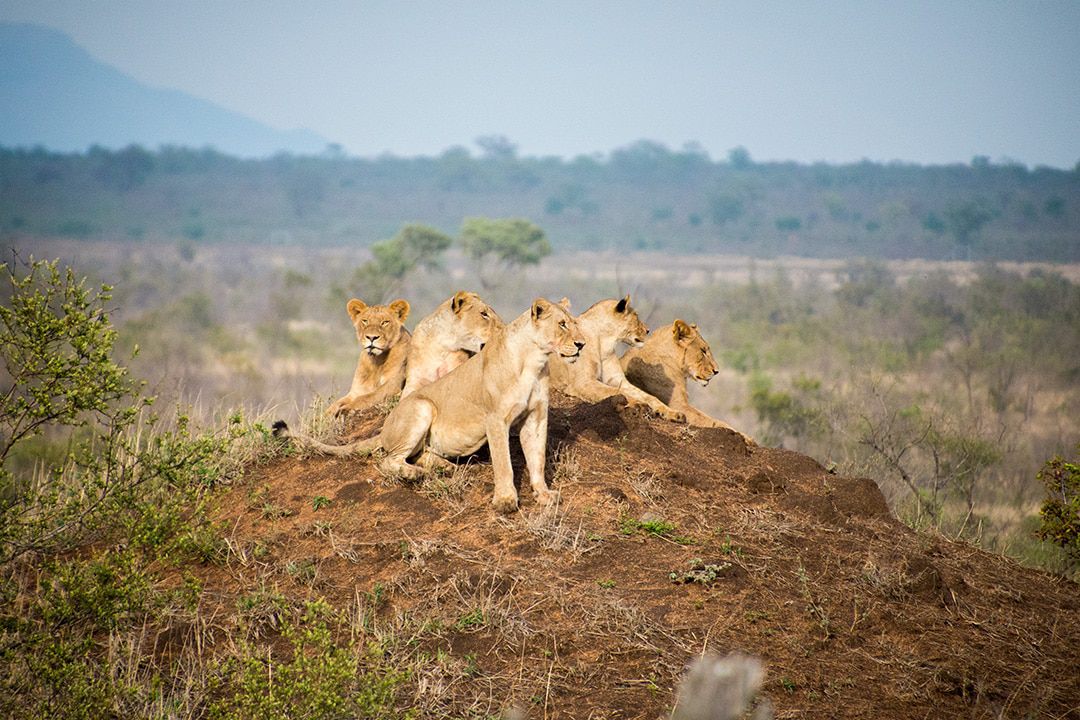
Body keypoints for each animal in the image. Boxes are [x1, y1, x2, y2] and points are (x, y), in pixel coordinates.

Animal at [278, 297, 583, 511]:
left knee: (416, 453)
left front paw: (544, 494)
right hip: (421, 407)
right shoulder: (495, 418)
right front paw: (506, 501)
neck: (535, 360)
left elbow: (537, 458)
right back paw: (416, 473)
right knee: (388, 461)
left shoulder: (536, 417)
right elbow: (503, 463)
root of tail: (385, 427)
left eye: (576, 323)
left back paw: (443, 467)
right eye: (562, 324)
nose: (581, 344)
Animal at [548, 295, 682, 423]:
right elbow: (615, 392)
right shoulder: (583, 383)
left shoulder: (618, 380)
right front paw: (637, 403)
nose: (648, 330)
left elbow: (648, 396)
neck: (604, 342)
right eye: (636, 316)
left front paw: (673, 413)